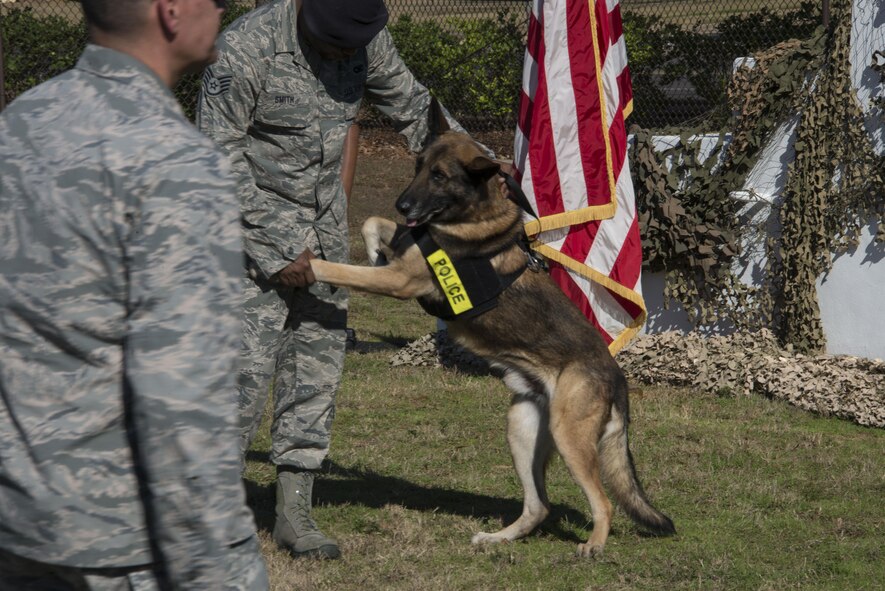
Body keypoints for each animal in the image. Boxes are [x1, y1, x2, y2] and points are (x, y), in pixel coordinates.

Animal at [308, 103, 672, 560]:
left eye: (440, 176)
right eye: (418, 166)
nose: (402, 203)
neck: (468, 216)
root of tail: (617, 378)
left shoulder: (402, 280)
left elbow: (340, 268)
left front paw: (300, 264)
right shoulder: (405, 255)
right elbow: (375, 224)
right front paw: (375, 246)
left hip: (569, 436)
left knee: (601, 501)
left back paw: (593, 545)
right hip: (522, 426)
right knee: (539, 505)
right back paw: (498, 539)